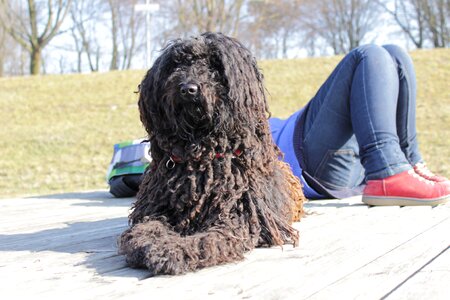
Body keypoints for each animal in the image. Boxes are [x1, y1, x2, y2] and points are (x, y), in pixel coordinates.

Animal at [118, 32, 306, 274]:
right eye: (176, 64)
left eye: (215, 64)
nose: (188, 88)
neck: (200, 155)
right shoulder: (157, 208)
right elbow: (147, 227)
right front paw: (151, 243)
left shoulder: (236, 216)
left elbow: (208, 240)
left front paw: (177, 251)